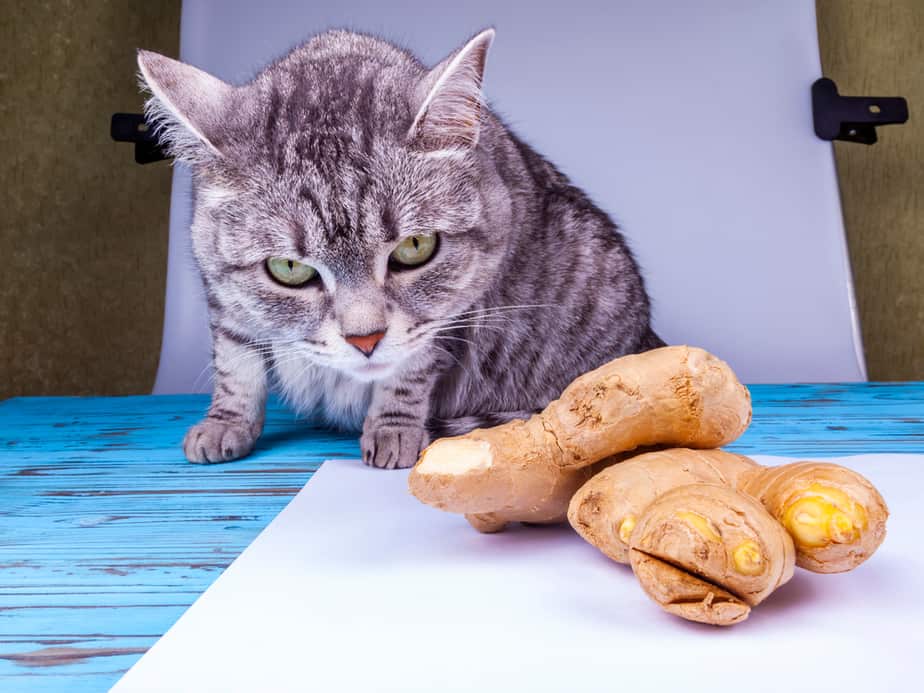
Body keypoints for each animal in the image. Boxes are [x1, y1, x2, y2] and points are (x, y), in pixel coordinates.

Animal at [135, 27, 664, 470]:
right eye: (288, 268)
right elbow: (234, 363)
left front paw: (393, 429)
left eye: (414, 247)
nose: (365, 340)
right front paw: (225, 423)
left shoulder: (455, 309)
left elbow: (409, 372)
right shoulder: (222, 295)